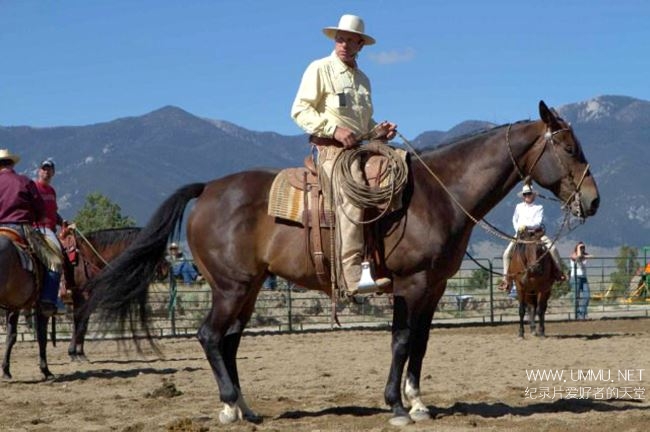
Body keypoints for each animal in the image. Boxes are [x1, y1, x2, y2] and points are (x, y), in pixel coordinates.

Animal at [0, 231, 53, 380]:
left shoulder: (13, 306)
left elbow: (11, 336)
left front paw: (6, 370)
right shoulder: (41, 309)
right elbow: (42, 336)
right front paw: (45, 370)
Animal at [83, 101, 600, 427]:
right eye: (568, 148)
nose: (593, 201)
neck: (436, 196)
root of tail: (207, 188)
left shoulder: (432, 288)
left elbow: (420, 344)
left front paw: (418, 402)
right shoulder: (411, 285)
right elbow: (401, 342)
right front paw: (396, 406)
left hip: (247, 288)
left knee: (227, 342)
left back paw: (243, 410)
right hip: (232, 287)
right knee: (210, 336)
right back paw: (231, 406)